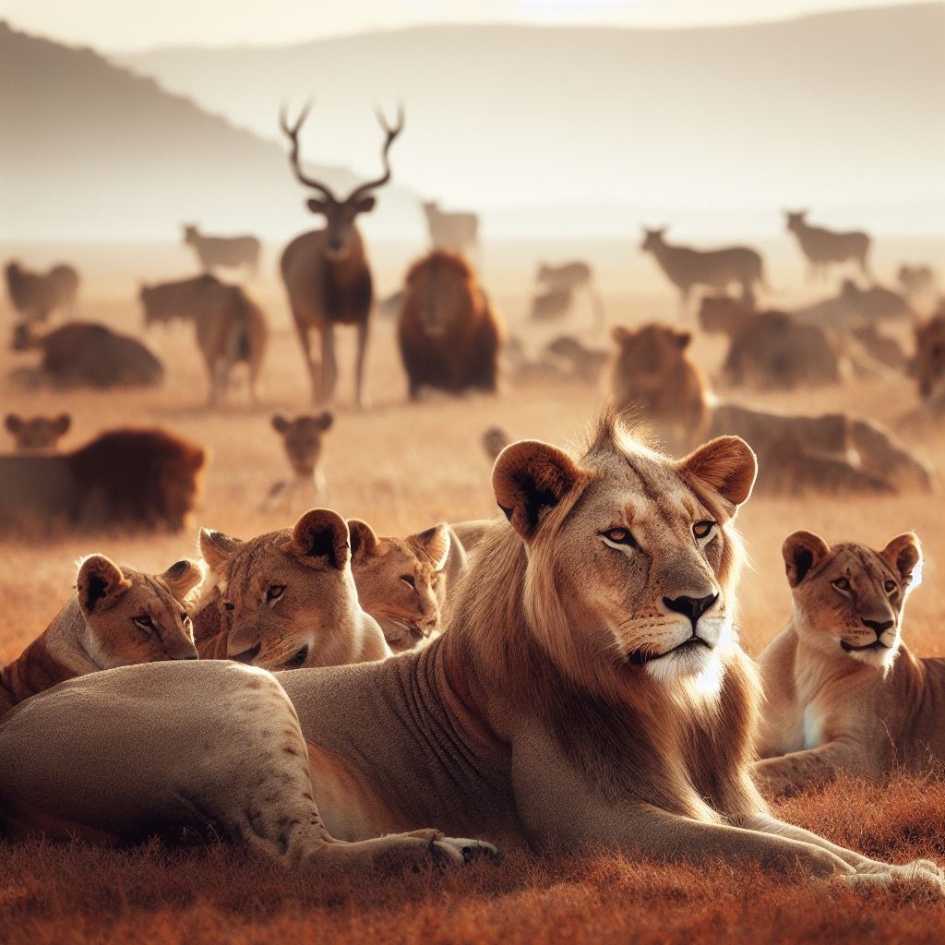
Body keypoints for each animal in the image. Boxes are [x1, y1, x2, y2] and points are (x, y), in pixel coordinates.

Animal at [140, 274, 268, 405]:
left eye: (147, 302)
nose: (145, 321)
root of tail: (239, 297)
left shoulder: (207, 351)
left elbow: (215, 375)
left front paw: (214, 399)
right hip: (260, 348)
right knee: (252, 377)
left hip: (213, 348)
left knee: (227, 373)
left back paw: (222, 398)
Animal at [753, 531, 938, 798]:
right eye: (842, 584)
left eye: (889, 586)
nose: (883, 623)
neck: (813, 663)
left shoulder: (864, 755)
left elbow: (792, 764)